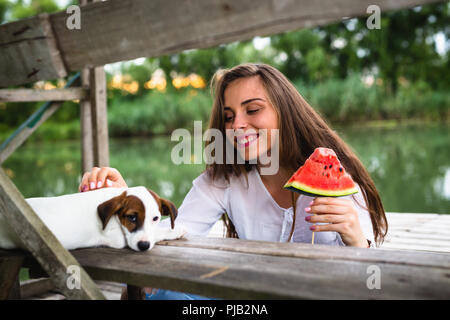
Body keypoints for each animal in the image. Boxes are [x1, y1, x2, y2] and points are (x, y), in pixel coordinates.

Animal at [0, 186, 186, 251]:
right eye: (131, 217)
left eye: (155, 218)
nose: (144, 246)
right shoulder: (118, 240)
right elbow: (158, 233)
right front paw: (175, 230)